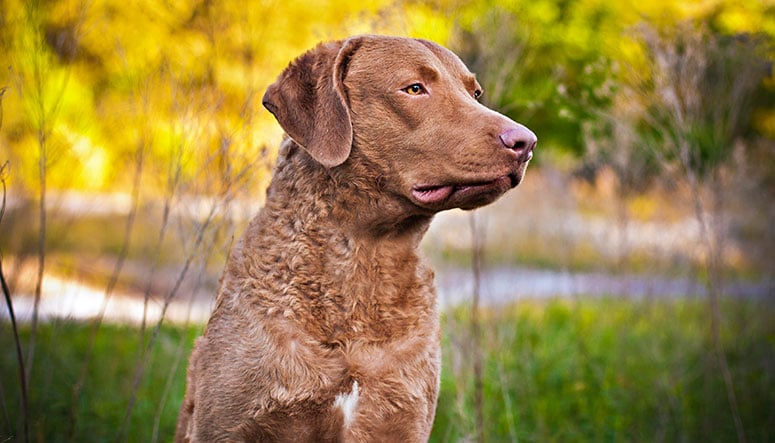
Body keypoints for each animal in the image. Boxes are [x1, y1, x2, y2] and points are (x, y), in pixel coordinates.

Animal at [178, 35, 536, 443]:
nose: (526, 142)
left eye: (475, 93)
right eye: (414, 88)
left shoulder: (401, 416)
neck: (362, 263)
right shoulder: (233, 423)